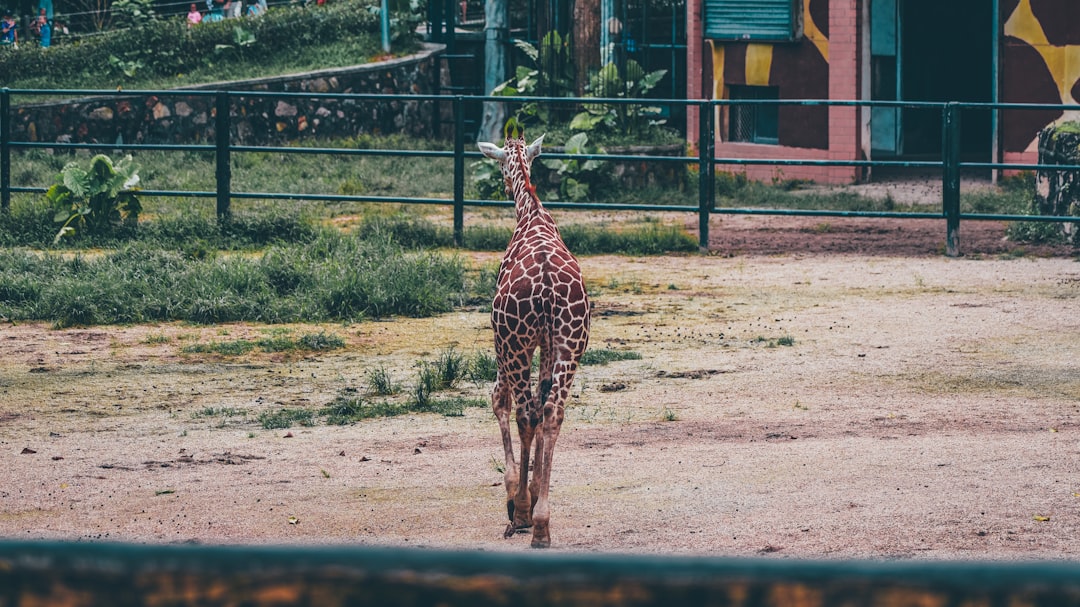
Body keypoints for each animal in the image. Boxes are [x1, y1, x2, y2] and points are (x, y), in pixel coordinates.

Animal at [477, 130, 591, 546]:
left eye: (496, 163)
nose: (504, 184)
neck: (531, 212)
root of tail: (545, 287)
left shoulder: (505, 341)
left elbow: (499, 399)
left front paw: (514, 495)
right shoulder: (549, 343)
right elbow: (543, 409)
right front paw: (534, 492)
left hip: (515, 342)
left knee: (525, 411)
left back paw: (526, 514)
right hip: (571, 343)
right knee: (553, 411)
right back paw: (542, 523)